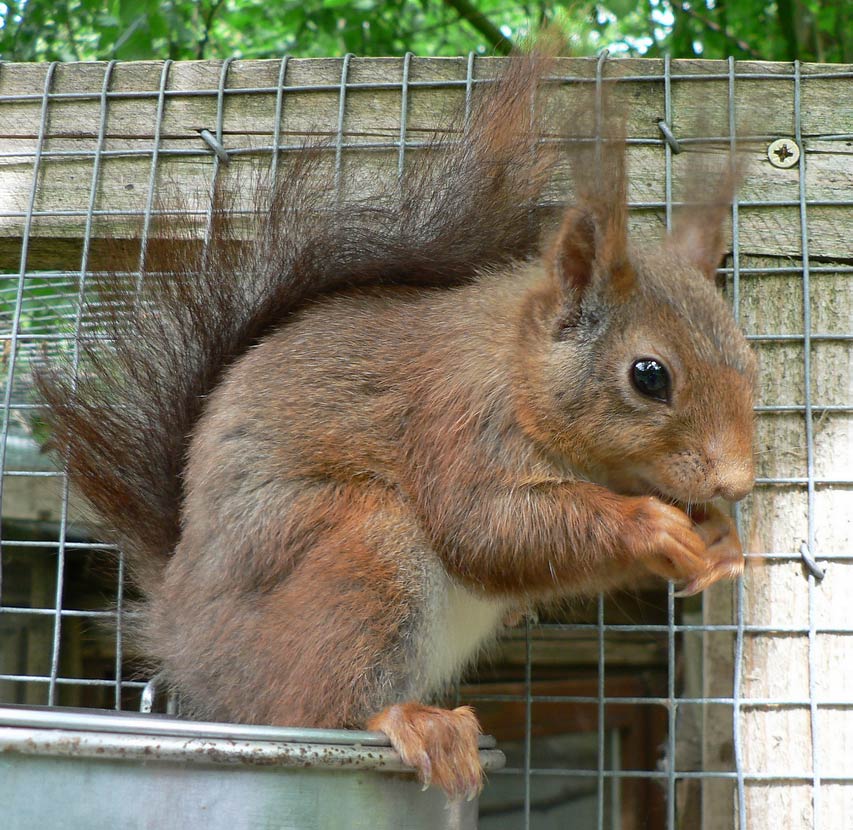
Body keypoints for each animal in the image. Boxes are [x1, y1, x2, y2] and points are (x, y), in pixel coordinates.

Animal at [35, 50, 752, 800]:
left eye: (751, 358)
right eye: (649, 376)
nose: (738, 482)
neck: (519, 367)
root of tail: (180, 636)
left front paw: (720, 541)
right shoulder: (455, 422)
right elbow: (484, 527)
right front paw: (654, 527)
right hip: (363, 547)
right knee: (310, 706)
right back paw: (408, 722)